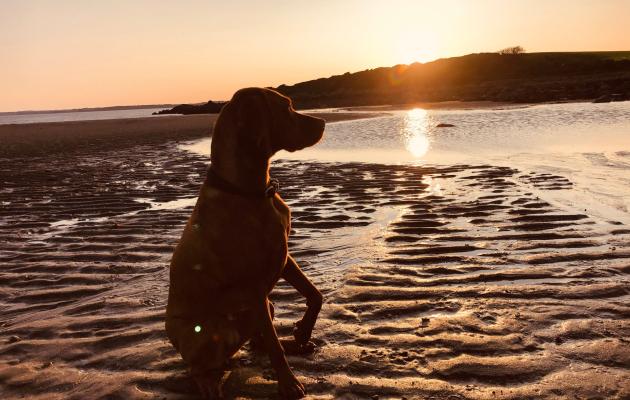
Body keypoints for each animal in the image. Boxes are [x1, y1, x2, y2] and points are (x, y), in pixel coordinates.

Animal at [167, 86, 326, 396]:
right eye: (286, 108)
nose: (324, 122)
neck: (250, 190)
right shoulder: (253, 286)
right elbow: (274, 348)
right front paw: (289, 384)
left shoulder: (283, 258)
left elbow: (315, 295)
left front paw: (302, 331)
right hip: (209, 333)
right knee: (199, 368)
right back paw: (210, 385)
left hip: (265, 306)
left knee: (258, 340)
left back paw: (295, 345)